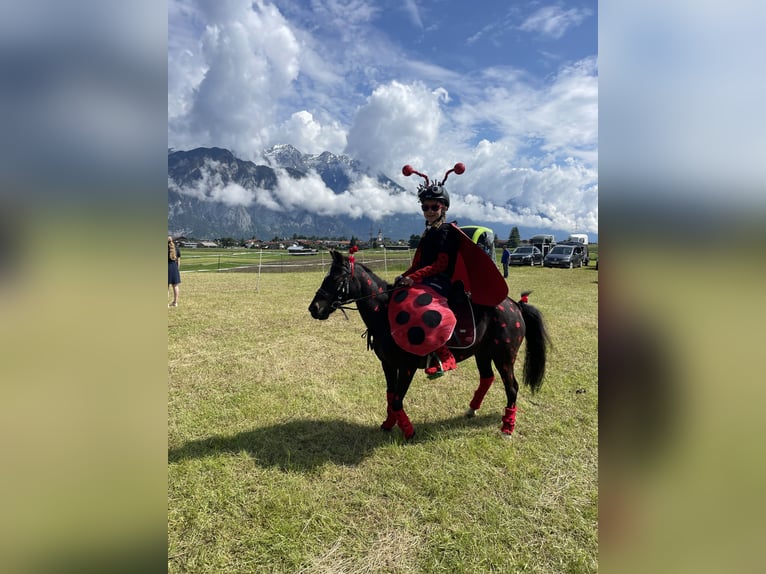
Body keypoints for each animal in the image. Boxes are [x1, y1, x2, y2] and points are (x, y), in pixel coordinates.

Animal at [308, 251, 552, 440]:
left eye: (336, 279)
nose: (314, 308)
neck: (385, 314)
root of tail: (515, 305)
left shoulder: (406, 366)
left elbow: (397, 399)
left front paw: (408, 431)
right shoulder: (388, 364)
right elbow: (390, 394)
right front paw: (388, 424)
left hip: (504, 357)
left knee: (512, 388)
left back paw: (507, 428)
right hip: (482, 353)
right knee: (487, 378)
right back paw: (472, 409)